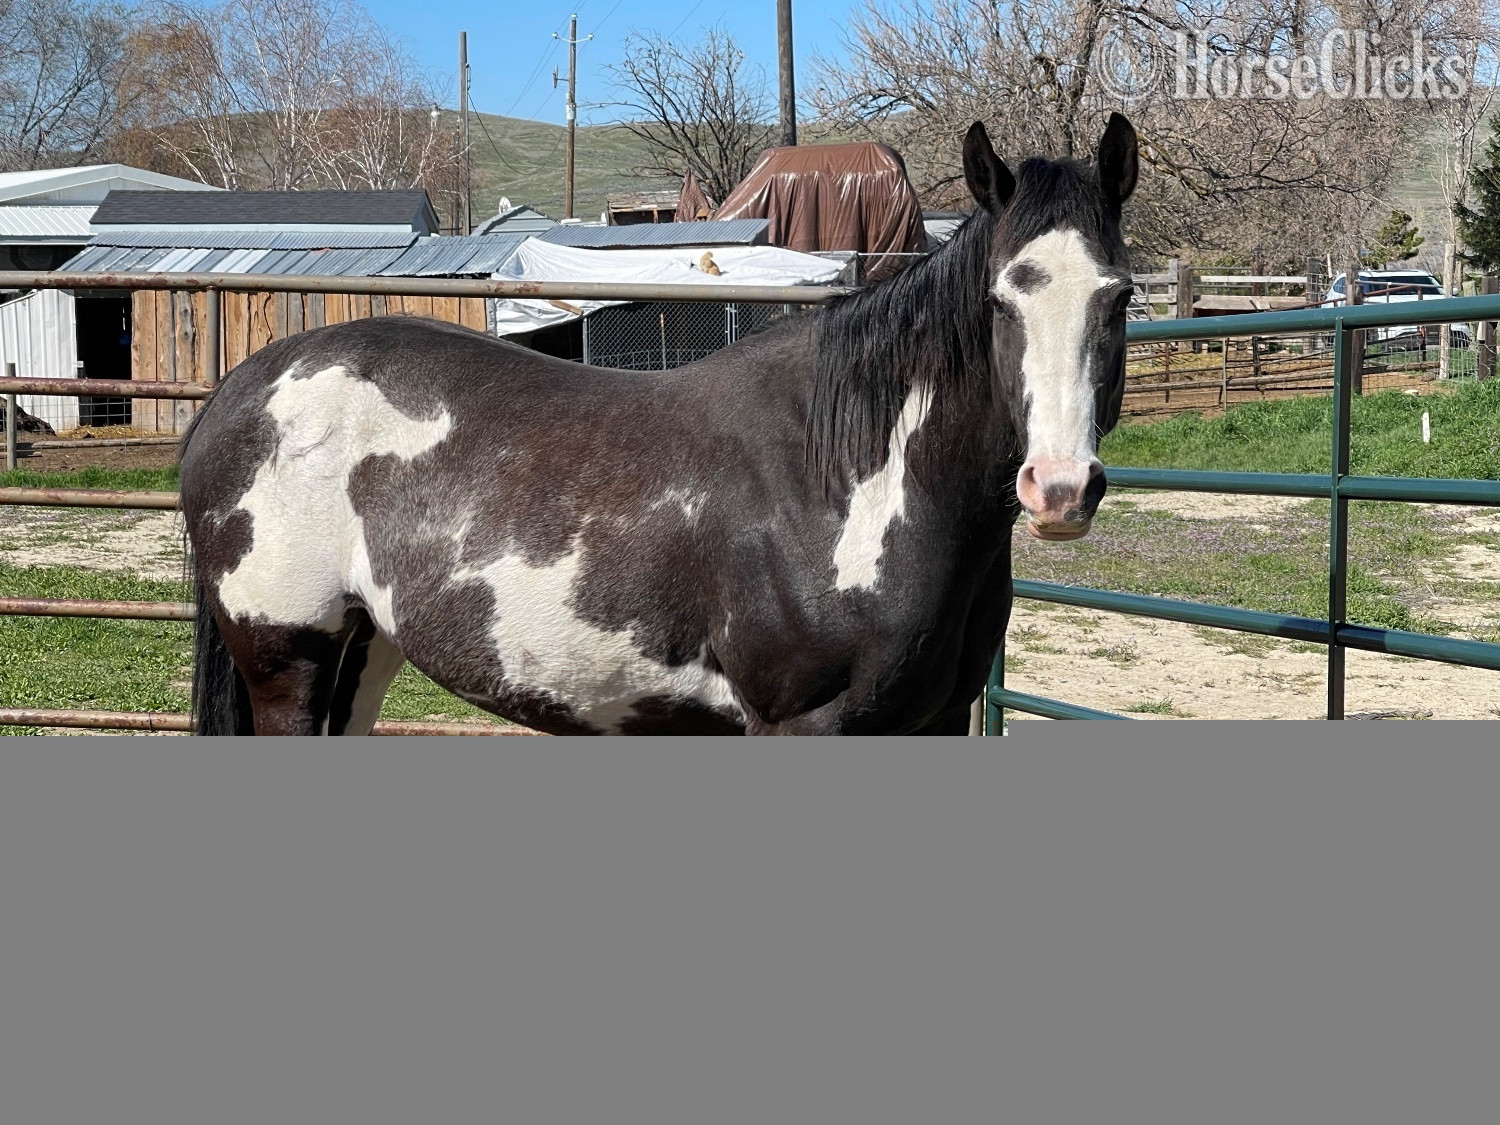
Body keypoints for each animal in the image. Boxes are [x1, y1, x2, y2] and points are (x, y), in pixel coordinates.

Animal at [179, 113, 1139, 736]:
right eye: (1002, 298)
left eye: (1119, 297)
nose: (1059, 488)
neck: (853, 484)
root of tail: (239, 391)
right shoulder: (800, 723)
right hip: (289, 663)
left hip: (364, 651)